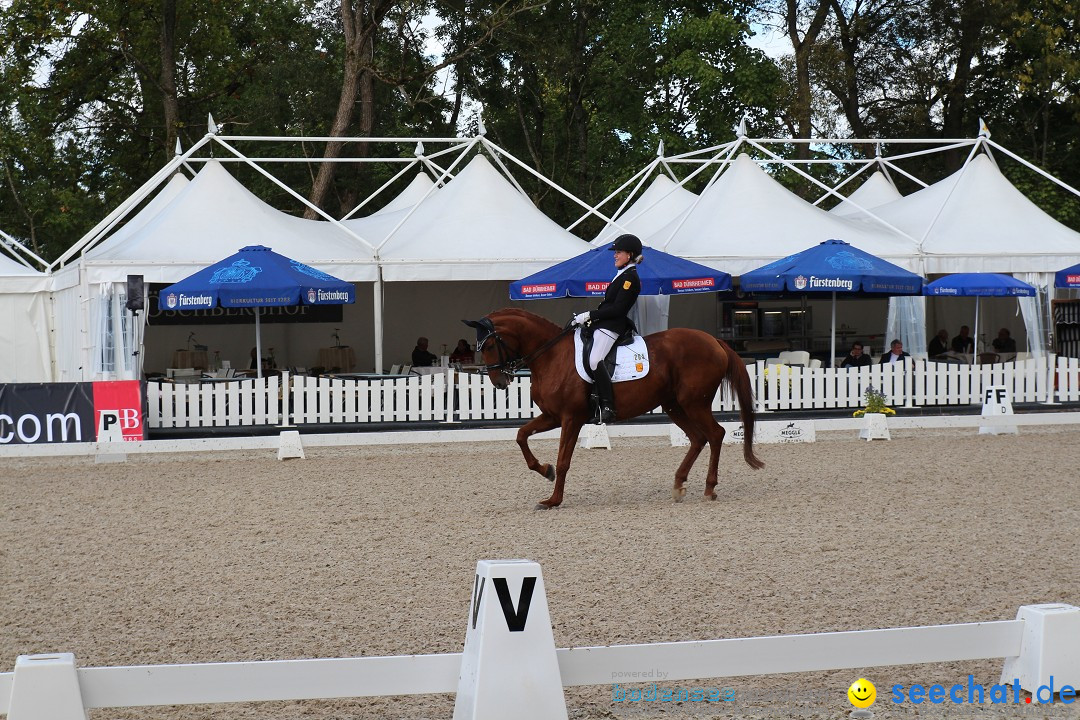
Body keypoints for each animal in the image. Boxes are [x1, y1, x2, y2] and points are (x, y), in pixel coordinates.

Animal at [468, 308, 764, 507]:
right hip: (674, 405)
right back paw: (679, 484)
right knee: (698, 438)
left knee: (715, 434)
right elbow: (521, 435)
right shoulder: (552, 416)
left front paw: (554, 499)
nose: (499, 381)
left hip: (694, 403)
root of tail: (714, 341)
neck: (551, 356)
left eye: (490, 344)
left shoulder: (571, 418)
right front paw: (545, 471)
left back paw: (709, 488)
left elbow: (564, 460)